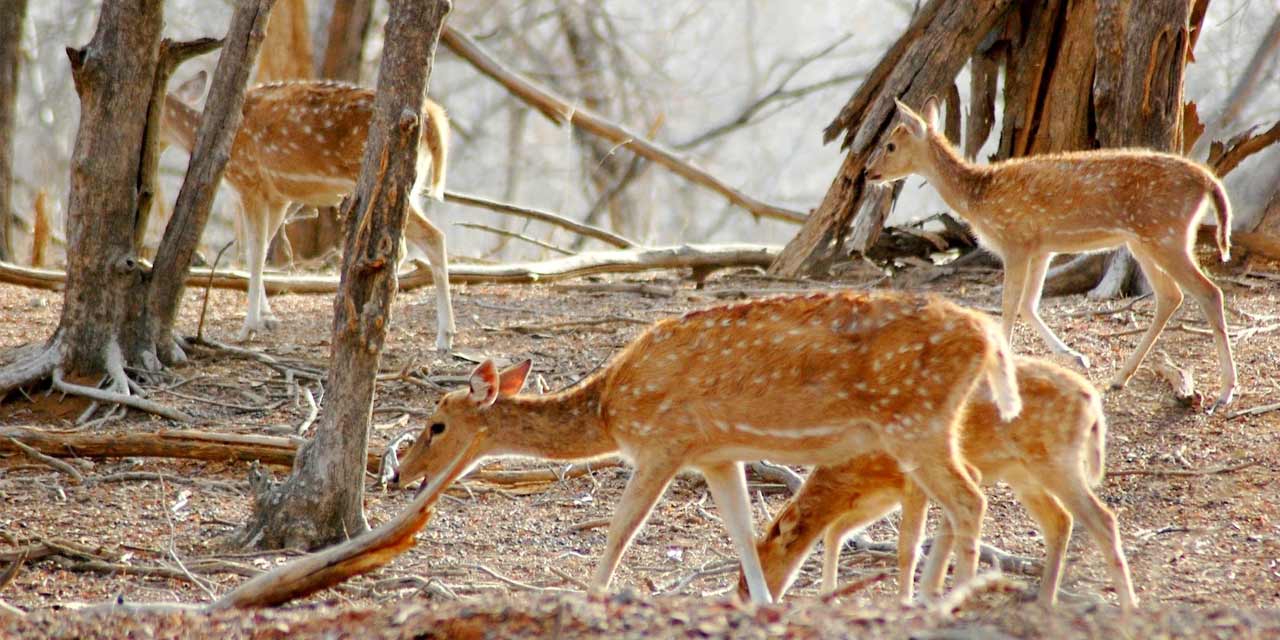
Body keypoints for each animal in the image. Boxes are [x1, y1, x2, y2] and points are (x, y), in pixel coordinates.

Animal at [162, 77, 455, 353]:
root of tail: (432, 116)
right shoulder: (278, 196)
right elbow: (262, 250)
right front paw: (268, 318)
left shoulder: (250, 181)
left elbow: (253, 254)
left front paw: (249, 328)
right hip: (411, 188)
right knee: (416, 241)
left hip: (386, 181)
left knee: (432, 237)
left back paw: (443, 336)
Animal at [394, 293, 1024, 601]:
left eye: (436, 425)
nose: (398, 474)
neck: (610, 408)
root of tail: (987, 336)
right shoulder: (717, 454)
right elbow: (744, 534)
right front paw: (763, 603)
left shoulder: (664, 442)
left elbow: (621, 527)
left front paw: (589, 595)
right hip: (928, 424)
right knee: (961, 497)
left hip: (915, 419)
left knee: (969, 497)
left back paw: (955, 596)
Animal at [742, 358, 1141, 611]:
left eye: (754, 572)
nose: (742, 599)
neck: (860, 470)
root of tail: (1092, 402)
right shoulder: (884, 494)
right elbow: (839, 530)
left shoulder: (914, 481)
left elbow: (909, 545)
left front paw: (909, 599)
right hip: (1023, 473)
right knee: (1060, 520)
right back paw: (1044, 600)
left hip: (1057, 462)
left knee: (1102, 518)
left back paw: (1127, 604)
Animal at [865, 98, 1233, 409]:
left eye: (890, 145)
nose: (868, 173)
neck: (978, 198)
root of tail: (1208, 181)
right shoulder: (1042, 247)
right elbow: (1028, 305)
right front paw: (1075, 357)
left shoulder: (1014, 241)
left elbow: (1009, 306)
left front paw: (997, 381)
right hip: (1144, 241)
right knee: (1171, 295)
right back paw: (1119, 378)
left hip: (1166, 235)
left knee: (1209, 292)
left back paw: (1225, 392)